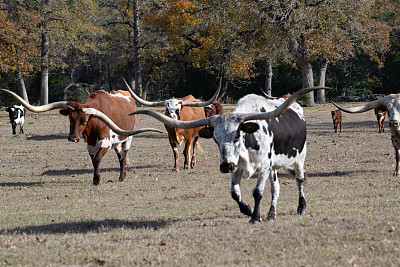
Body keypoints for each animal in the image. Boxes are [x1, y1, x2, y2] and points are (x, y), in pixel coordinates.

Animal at [1, 89, 161, 185]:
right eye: (70, 119)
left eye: (84, 121)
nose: (73, 138)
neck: (94, 126)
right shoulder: (89, 145)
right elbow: (93, 160)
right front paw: (95, 178)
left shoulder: (106, 143)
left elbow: (97, 158)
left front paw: (97, 179)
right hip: (117, 142)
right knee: (120, 155)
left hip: (127, 137)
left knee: (124, 156)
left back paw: (122, 177)